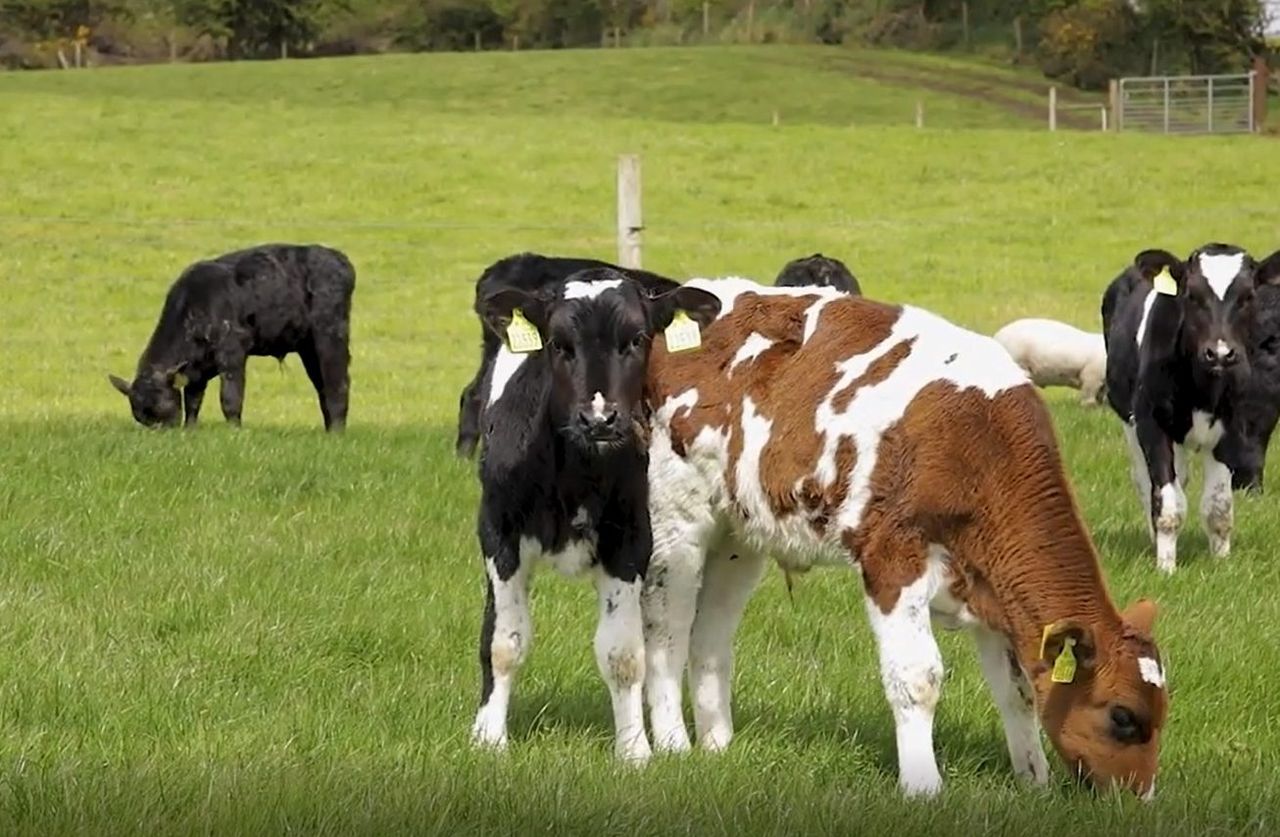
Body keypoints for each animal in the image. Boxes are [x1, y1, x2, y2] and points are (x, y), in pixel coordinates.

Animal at [108, 244, 355, 432]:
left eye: (162, 408)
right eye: (142, 416)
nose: (162, 432)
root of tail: (339, 259)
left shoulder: (232, 353)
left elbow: (230, 397)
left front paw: (234, 431)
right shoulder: (197, 370)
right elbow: (193, 399)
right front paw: (190, 429)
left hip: (331, 337)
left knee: (337, 382)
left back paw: (336, 432)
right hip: (308, 349)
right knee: (322, 385)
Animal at [469, 267, 720, 762]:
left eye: (638, 338)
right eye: (557, 343)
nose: (600, 419)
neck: (574, 473)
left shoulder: (630, 540)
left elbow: (624, 654)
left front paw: (635, 751)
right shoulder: (499, 533)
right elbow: (504, 641)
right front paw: (488, 738)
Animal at [640, 278, 1168, 799]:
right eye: (1123, 716)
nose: (1139, 800)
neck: (979, 446)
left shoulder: (989, 586)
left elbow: (1017, 691)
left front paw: (1033, 780)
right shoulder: (893, 558)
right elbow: (918, 678)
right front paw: (922, 785)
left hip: (738, 537)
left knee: (710, 635)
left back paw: (717, 744)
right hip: (676, 519)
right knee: (667, 633)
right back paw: (673, 743)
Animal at [1101, 244, 1274, 573]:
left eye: (1248, 296)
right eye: (1192, 295)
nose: (1219, 353)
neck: (1204, 393)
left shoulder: (1233, 429)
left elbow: (1219, 506)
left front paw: (1222, 563)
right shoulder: (1152, 424)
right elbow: (1169, 504)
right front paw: (1166, 568)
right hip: (1129, 419)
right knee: (1146, 482)